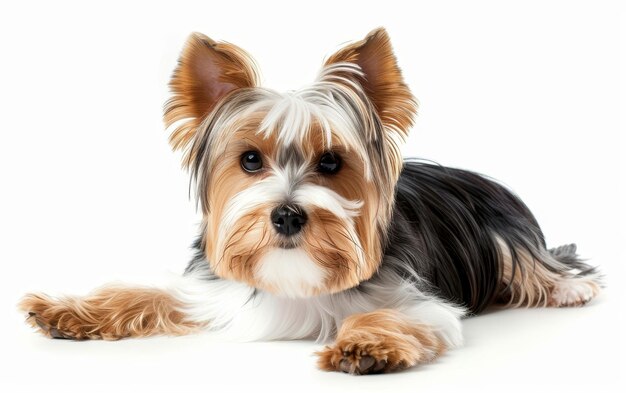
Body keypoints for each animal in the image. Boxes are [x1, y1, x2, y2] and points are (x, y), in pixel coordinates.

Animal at [19, 28, 600, 374]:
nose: (287, 214)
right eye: (250, 160)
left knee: (547, 265)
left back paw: (569, 288)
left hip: (505, 235)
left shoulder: (420, 304)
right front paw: (65, 311)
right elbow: (141, 292)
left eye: (332, 163)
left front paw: (364, 346)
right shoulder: (210, 292)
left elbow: (394, 317)